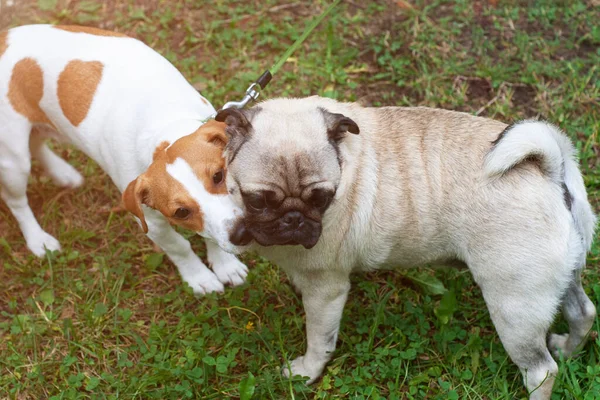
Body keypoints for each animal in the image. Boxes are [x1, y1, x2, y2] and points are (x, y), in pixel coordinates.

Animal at [0, 24, 247, 294]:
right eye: (181, 212)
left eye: (219, 175)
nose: (241, 232)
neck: (161, 123)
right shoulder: (151, 222)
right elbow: (180, 247)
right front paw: (199, 276)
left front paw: (225, 265)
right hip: (13, 161)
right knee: (17, 202)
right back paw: (38, 239)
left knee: (37, 144)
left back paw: (62, 173)